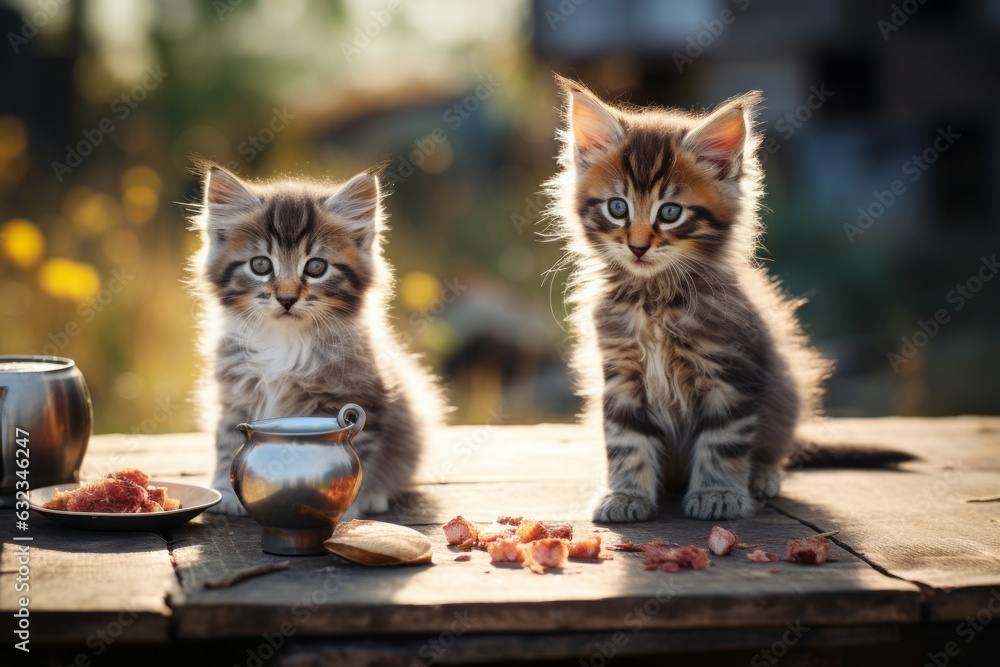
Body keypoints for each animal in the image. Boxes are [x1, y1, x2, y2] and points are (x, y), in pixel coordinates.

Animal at [191, 166, 442, 516]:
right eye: (260, 264)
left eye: (316, 266)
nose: (286, 298)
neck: (285, 340)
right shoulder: (234, 396)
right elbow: (227, 438)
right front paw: (226, 493)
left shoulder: (358, 397)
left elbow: (359, 451)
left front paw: (348, 505)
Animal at [548, 78, 828, 520]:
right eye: (617, 207)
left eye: (670, 213)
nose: (638, 247)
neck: (654, 299)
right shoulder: (621, 373)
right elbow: (625, 440)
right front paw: (626, 494)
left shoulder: (732, 371)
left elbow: (723, 440)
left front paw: (719, 493)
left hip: (787, 393)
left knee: (772, 449)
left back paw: (762, 477)